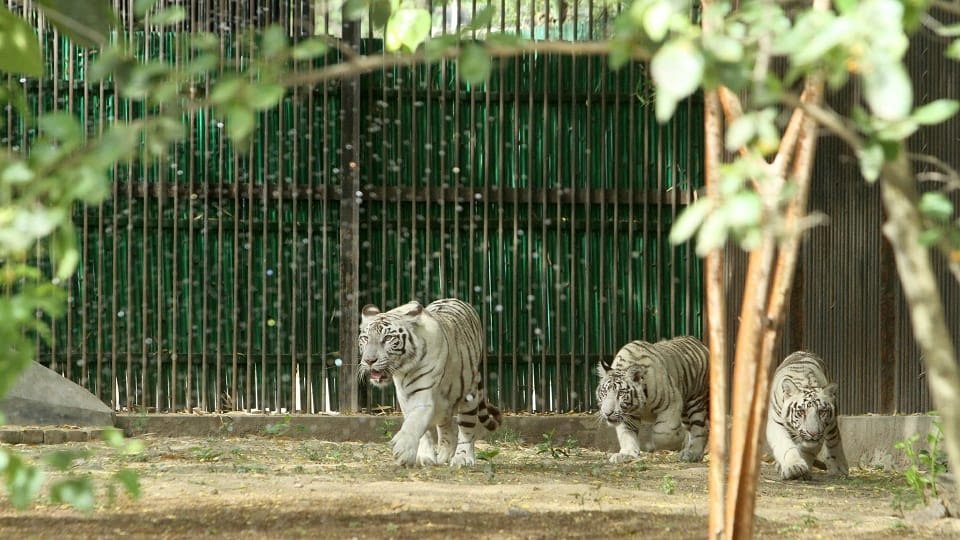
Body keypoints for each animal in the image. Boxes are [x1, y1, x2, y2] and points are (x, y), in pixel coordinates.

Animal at [358, 298, 503, 467]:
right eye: (365, 338)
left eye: (388, 338)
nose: (369, 360)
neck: (404, 370)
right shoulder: (404, 397)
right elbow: (423, 431)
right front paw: (424, 457)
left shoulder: (422, 394)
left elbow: (415, 422)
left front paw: (403, 449)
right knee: (447, 426)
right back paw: (445, 454)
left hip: (469, 396)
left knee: (467, 431)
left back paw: (463, 458)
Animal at [766, 350, 848, 481]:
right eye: (801, 412)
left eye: (822, 411)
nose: (813, 433)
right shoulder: (775, 423)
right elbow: (785, 445)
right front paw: (794, 467)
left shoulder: (822, 430)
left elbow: (808, 451)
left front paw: (803, 471)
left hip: (831, 424)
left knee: (834, 439)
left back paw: (839, 468)